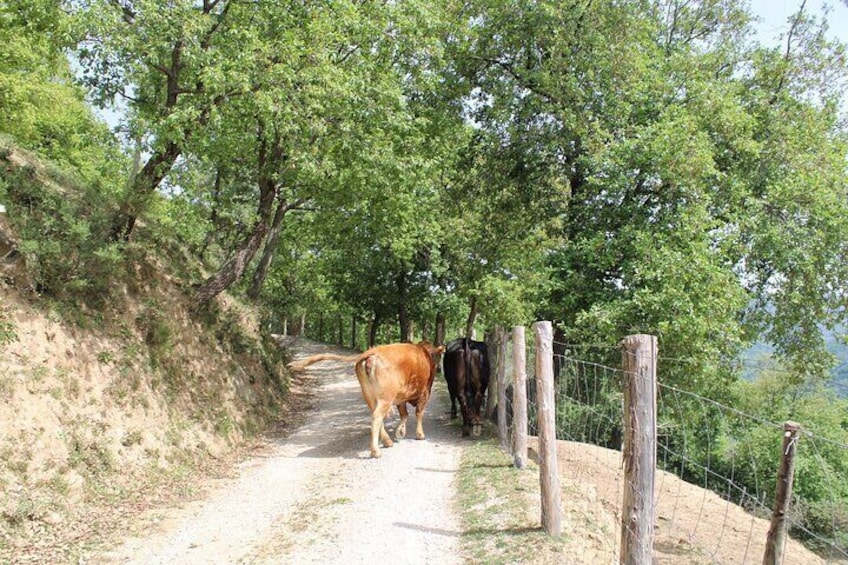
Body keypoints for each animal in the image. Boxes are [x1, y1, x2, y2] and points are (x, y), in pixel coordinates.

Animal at [288, 341, 445, 458]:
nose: (439, 369)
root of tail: (372, 352)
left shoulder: (401, 396)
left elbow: (404, 414)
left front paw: (400, 431)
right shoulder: (425, 392)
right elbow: (418, 413)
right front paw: (419, 434)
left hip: (369, 395)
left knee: (376, 415)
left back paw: (387, 441)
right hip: (385, 397)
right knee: (376, 417)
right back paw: (376, 451)